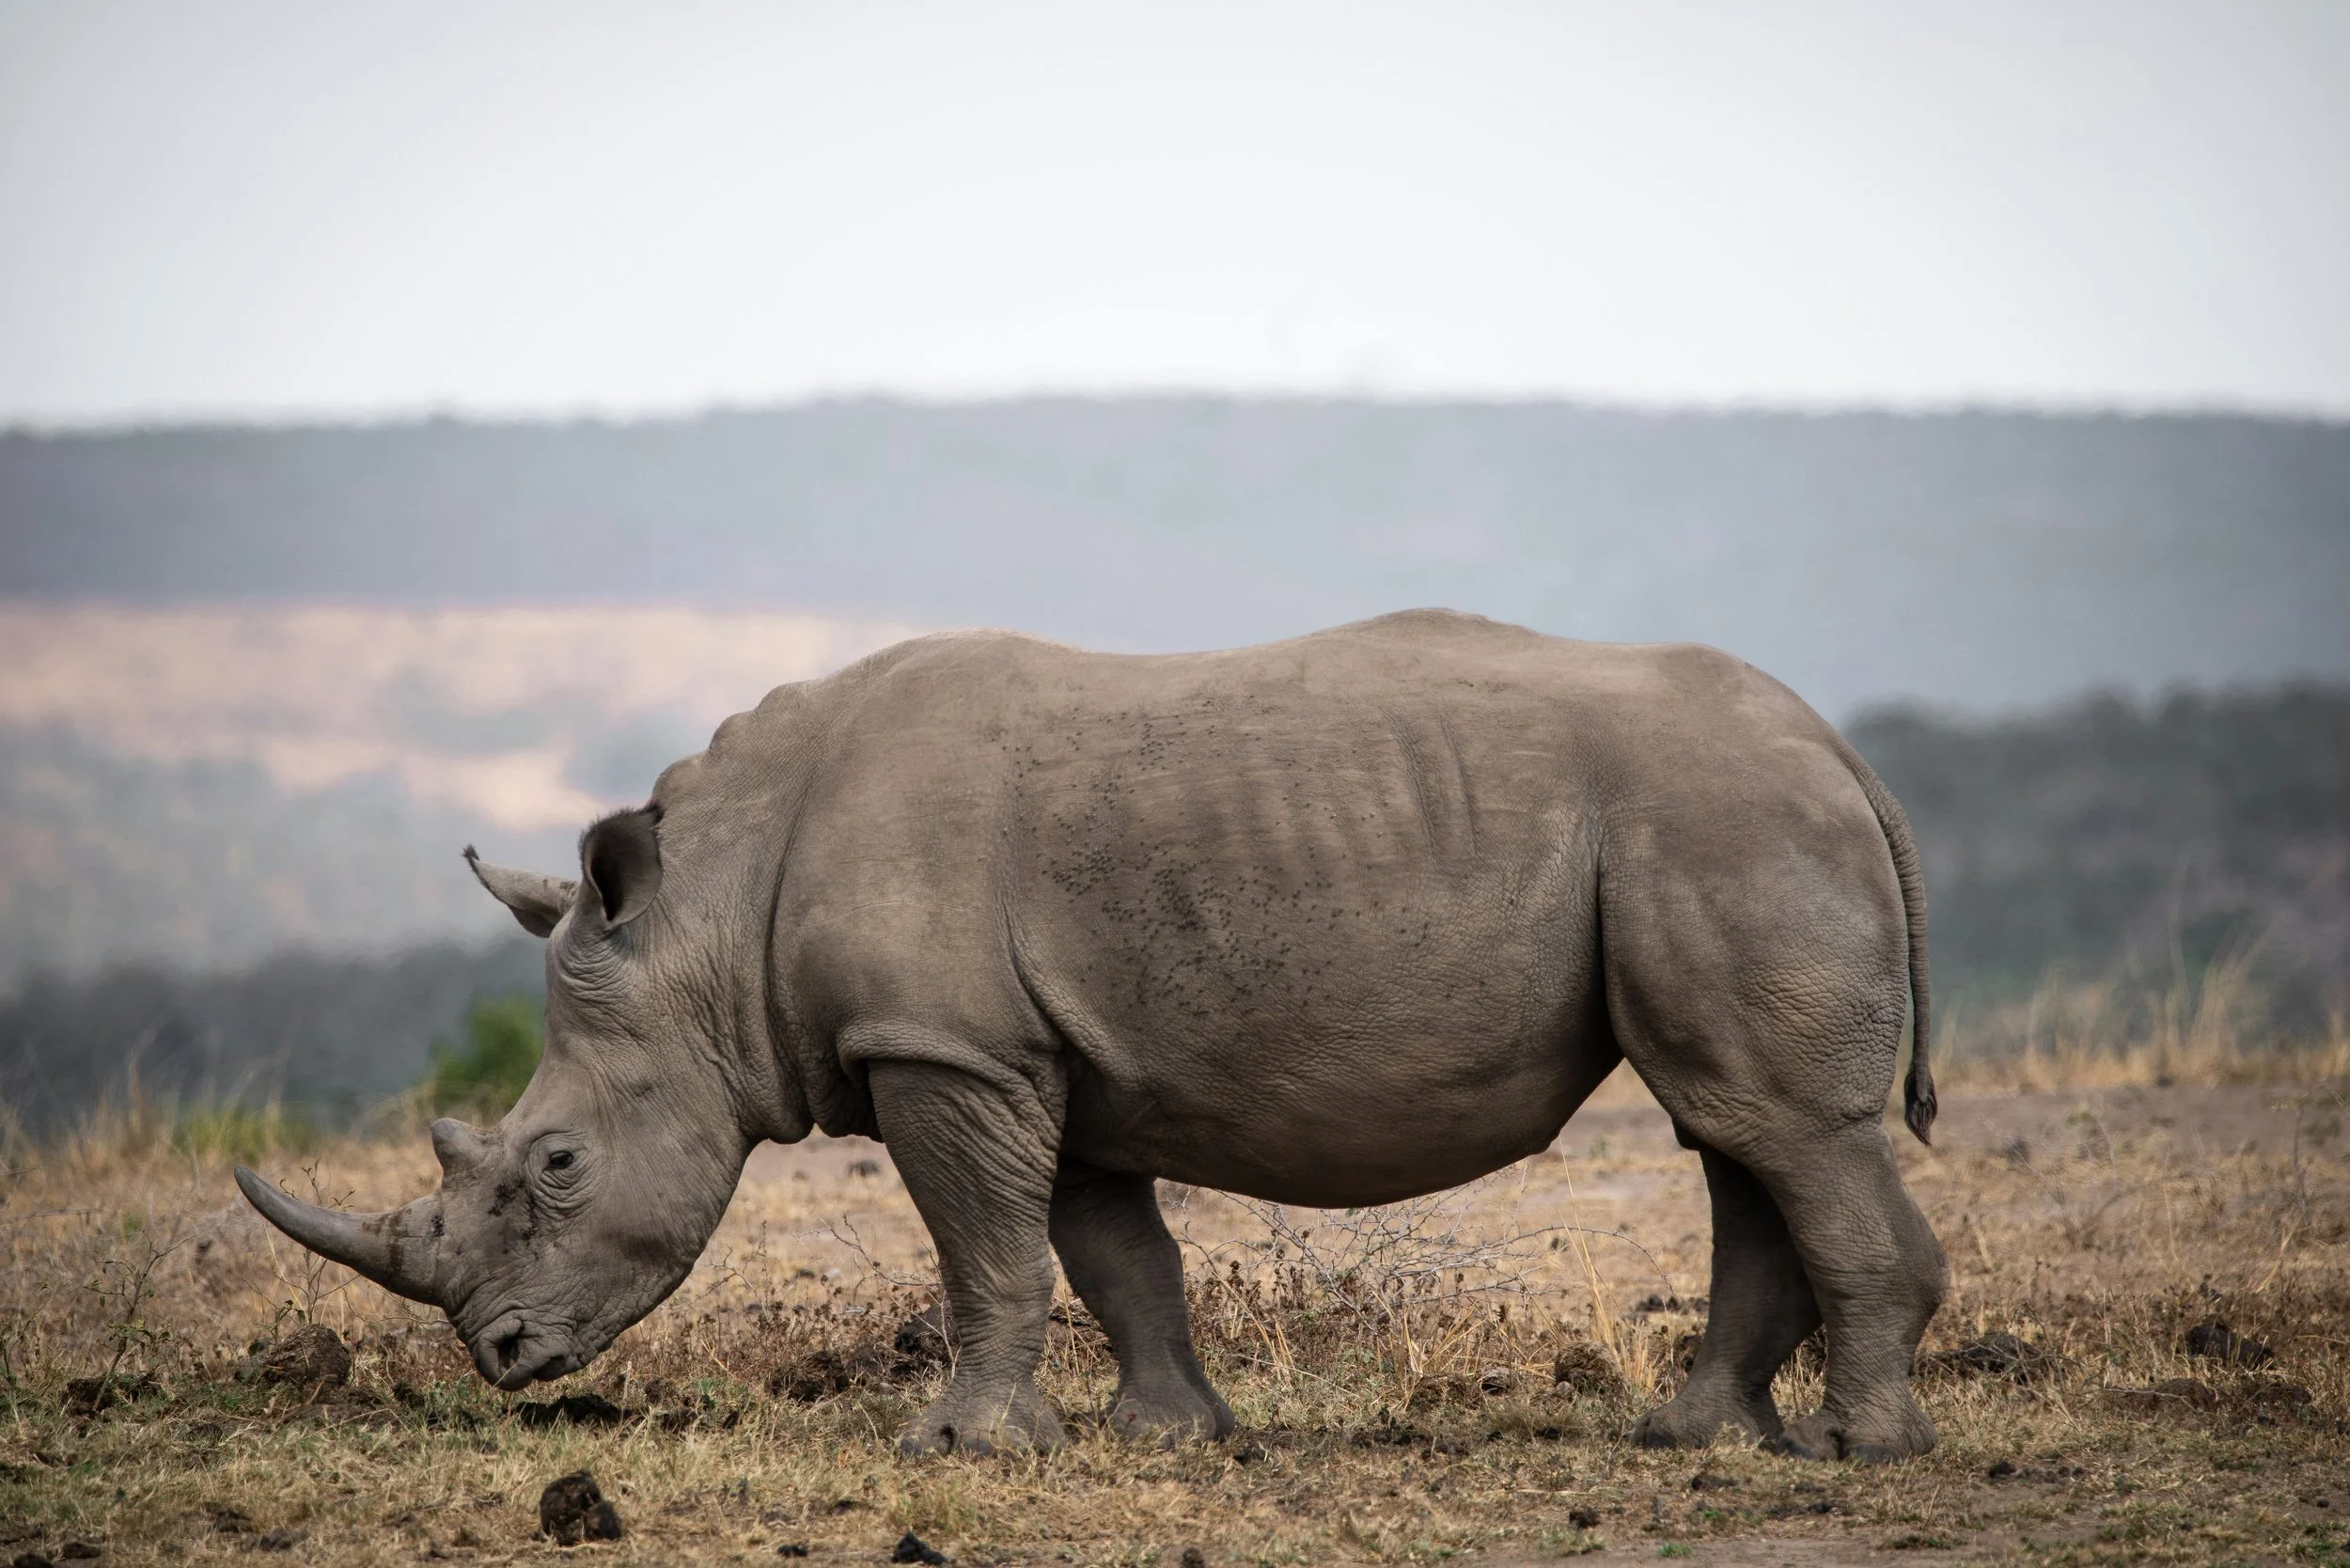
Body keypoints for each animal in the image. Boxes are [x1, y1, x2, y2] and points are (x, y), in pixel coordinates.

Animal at [239, 610, 1948, 1461]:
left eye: (556, 1164)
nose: (503, 1359)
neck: (710, 917)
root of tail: (1837, 747)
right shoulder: (1027, 1052)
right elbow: (1107, 1250)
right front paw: (1167, 1435)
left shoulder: (943, 1048)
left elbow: (986, 1250)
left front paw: (957, 1450)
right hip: (1716, 823)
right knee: (1735, 1123)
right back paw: (1697, 1439)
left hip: (1723, 817)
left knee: (1773, 1125)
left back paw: (1860, 1453)